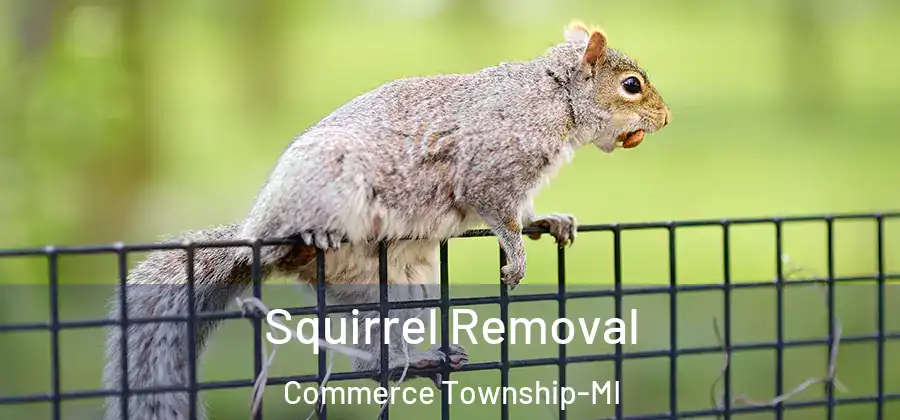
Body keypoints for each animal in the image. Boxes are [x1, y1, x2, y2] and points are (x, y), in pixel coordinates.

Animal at [102, 20, 670, 420]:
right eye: (631, 85)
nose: (665, 120)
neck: (554, 97)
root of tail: (252, 236)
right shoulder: (489, 167)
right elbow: (498, 214)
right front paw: (516, 257)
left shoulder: (519, 183)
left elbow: (524, 212)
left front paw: (549, 222)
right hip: (325, 188)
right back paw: (309, 239)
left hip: (398, 289)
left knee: (372, 360)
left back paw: (415, 361)